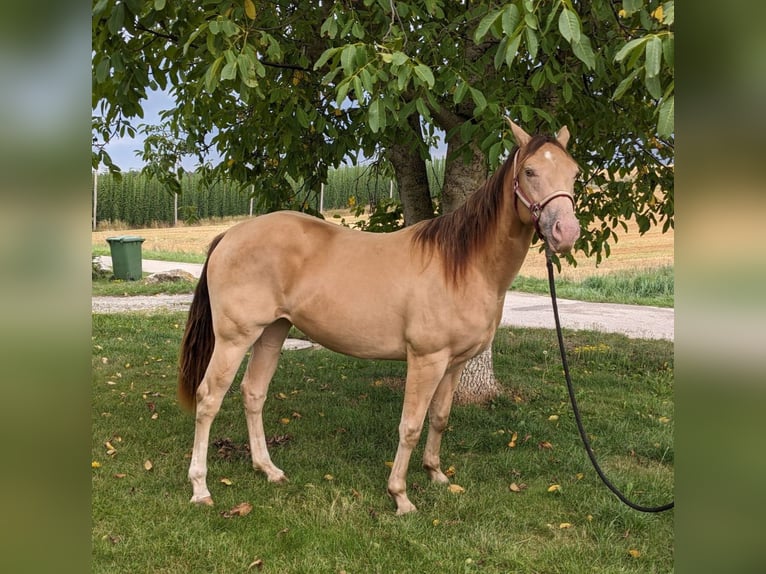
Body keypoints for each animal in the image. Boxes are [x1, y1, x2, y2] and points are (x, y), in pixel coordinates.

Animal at [176, 119, 584, 516]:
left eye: (574, 172)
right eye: (530, 171)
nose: (565, 232)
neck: (462, 264)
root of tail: (230, 235)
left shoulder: (454, 364)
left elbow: (440, 417)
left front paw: (436, 474)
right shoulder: (426, 360)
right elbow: (411, 425)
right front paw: (400, 496)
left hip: (272, 333)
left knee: (253, 393)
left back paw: (269, 469)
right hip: (234, 339)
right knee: (208, 399)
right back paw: (200, 488)